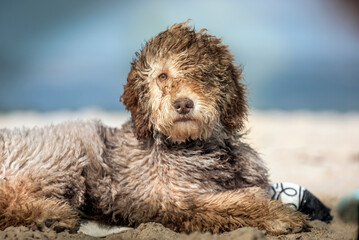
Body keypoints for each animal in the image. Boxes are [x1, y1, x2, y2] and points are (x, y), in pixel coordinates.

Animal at [0, 21, 306, 235]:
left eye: (204, 75)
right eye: (162, 76)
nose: (183, 104)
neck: (194, 144)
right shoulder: (171, 201)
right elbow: (228, 204)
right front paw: (278, 216)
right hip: (62, 153)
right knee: (9, 200)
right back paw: (48, 215)